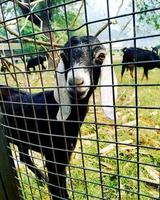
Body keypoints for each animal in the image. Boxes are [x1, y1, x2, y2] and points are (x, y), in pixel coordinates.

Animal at [0, 35, 117, 199]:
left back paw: (42, 179)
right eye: (63, 55)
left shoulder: (63, 157)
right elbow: (57, 190)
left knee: (24, 157)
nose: (76, 81)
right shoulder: (54, 156)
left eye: (101, 56)